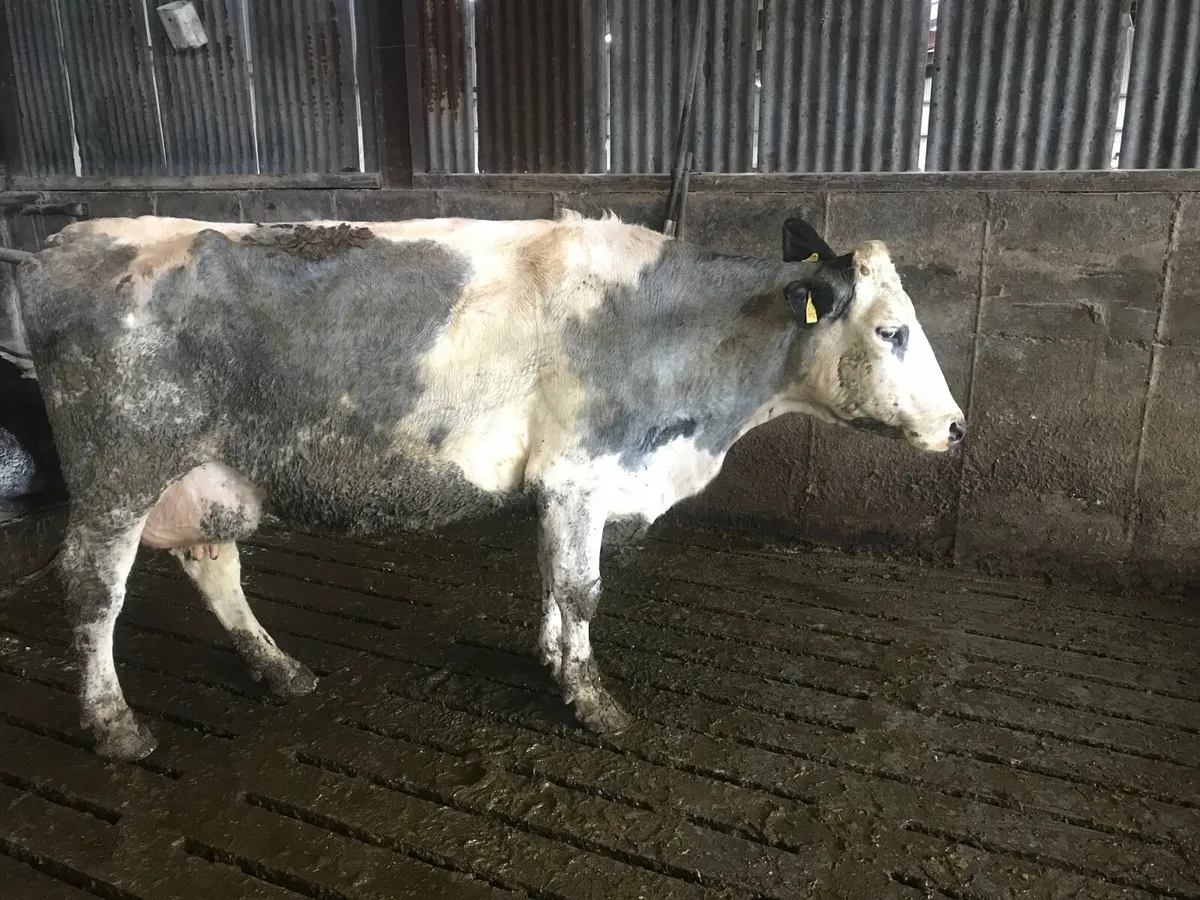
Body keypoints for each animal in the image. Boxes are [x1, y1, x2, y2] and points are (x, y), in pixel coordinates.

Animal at [4, 210, 965, 761]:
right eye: (892, 331)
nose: (958, 428)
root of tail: (62, 240)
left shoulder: (558, 486)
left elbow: (550, 584)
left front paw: (555, 667)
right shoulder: (580, 474)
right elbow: (580, 589)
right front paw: (594, 703)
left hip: (205, 472)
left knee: (213, 566)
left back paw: (277, 669)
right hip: (119, 468)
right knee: (93, 589)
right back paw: (113, 725)